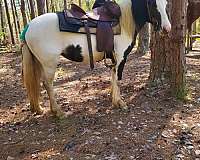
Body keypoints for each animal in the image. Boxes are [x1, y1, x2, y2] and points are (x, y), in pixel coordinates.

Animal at [22, 0, 172, 117]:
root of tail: (29, 26)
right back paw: (58, 111)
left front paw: (114, 99)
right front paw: (120, 102)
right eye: (152, 4)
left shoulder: (114, 59)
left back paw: (40, 109)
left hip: (40, 63)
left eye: (166, 4)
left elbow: (113, 77)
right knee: (48, 84)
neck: (124, 22)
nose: (167, 29)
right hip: (49, 63)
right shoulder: (121, 57)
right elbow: (118, 79)